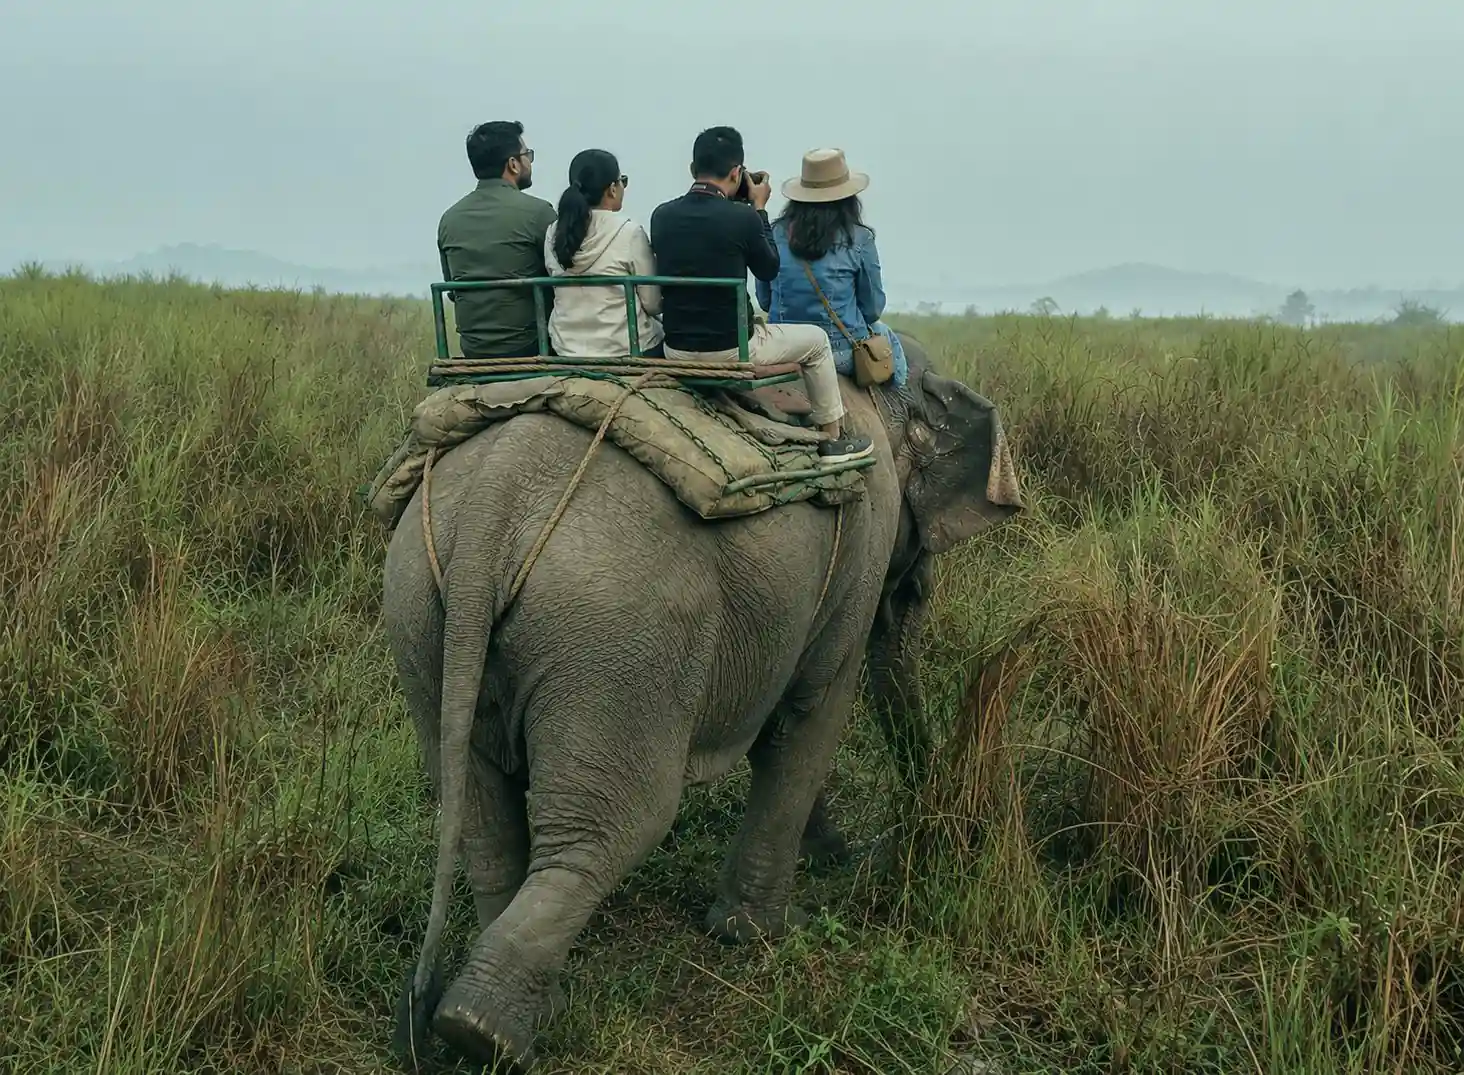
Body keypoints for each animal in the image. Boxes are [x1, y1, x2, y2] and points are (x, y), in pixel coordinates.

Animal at [381, 331, 1021, 1071]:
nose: (880, 848)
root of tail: (495, 494)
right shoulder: (865, 533)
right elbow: (810, 716)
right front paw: (763, 932)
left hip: (422, 613)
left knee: (480, 814)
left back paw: (505, 1013)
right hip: (616, 635)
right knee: (615, 825)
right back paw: (487, 1032)